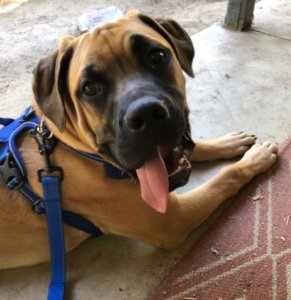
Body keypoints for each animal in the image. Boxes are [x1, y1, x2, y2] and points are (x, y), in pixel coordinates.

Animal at [0, 11, 278, 270]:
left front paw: (228, 143)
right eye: (89, 88)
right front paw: (255, 159)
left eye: (157, 56)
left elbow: (196, 146)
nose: (146, 115)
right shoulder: (174, 221)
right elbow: (226, 176)